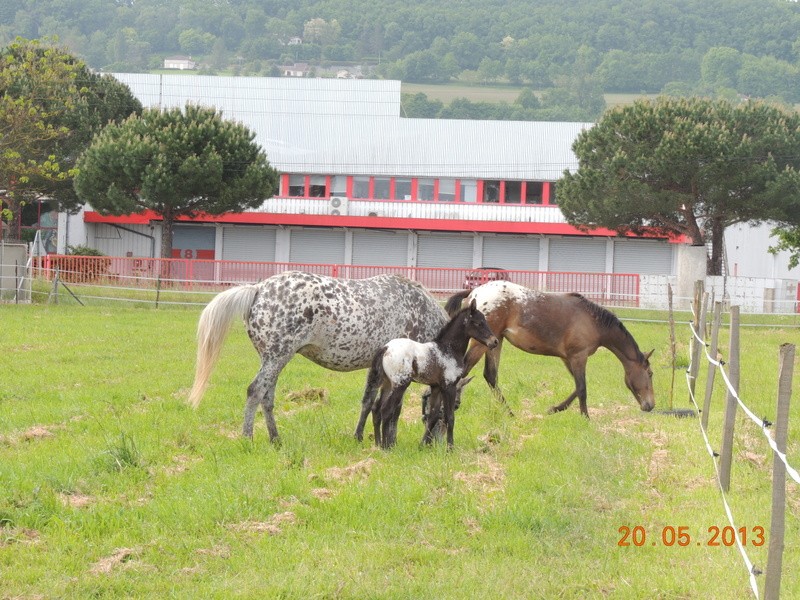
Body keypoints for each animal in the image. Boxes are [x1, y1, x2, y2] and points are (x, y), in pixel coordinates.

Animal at [189, 270, 450, 440]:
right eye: (453, 405)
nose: (435, 442)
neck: (417, 309)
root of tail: (258, 289)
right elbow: (393, 408)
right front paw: (388, 439)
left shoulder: (377, 368)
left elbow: (368, 401)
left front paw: (359, 435)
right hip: (276, 357)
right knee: (255, 392)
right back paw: (247, 438)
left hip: (273, 360)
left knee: (266, 397)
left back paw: (276, 439)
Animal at [354, 300, 496, 450]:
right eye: (478, 323)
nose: (494, 341)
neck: (447, 349)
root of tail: (386, 348)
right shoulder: (449, 387)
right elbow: (449, 417)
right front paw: (450, 448)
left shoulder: (436, 387)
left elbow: (432, 416)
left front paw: (422, 445)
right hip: (400, 385)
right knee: (386, 410)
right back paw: (386, 447)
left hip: (387, 383)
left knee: (376, 408)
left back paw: (378, 443)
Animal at [444, 282, 656, 418]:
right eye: (650, 374)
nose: (650, 405)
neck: (593, 321)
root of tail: (474, 292)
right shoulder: (579, 356)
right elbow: (582, 388)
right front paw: (585, 417)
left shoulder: (568, 358)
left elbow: (576, 387)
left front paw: (555, 409)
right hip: (481, 343)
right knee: (464, 371)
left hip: (495, 342)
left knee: (490, 376)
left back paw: (510, 413)